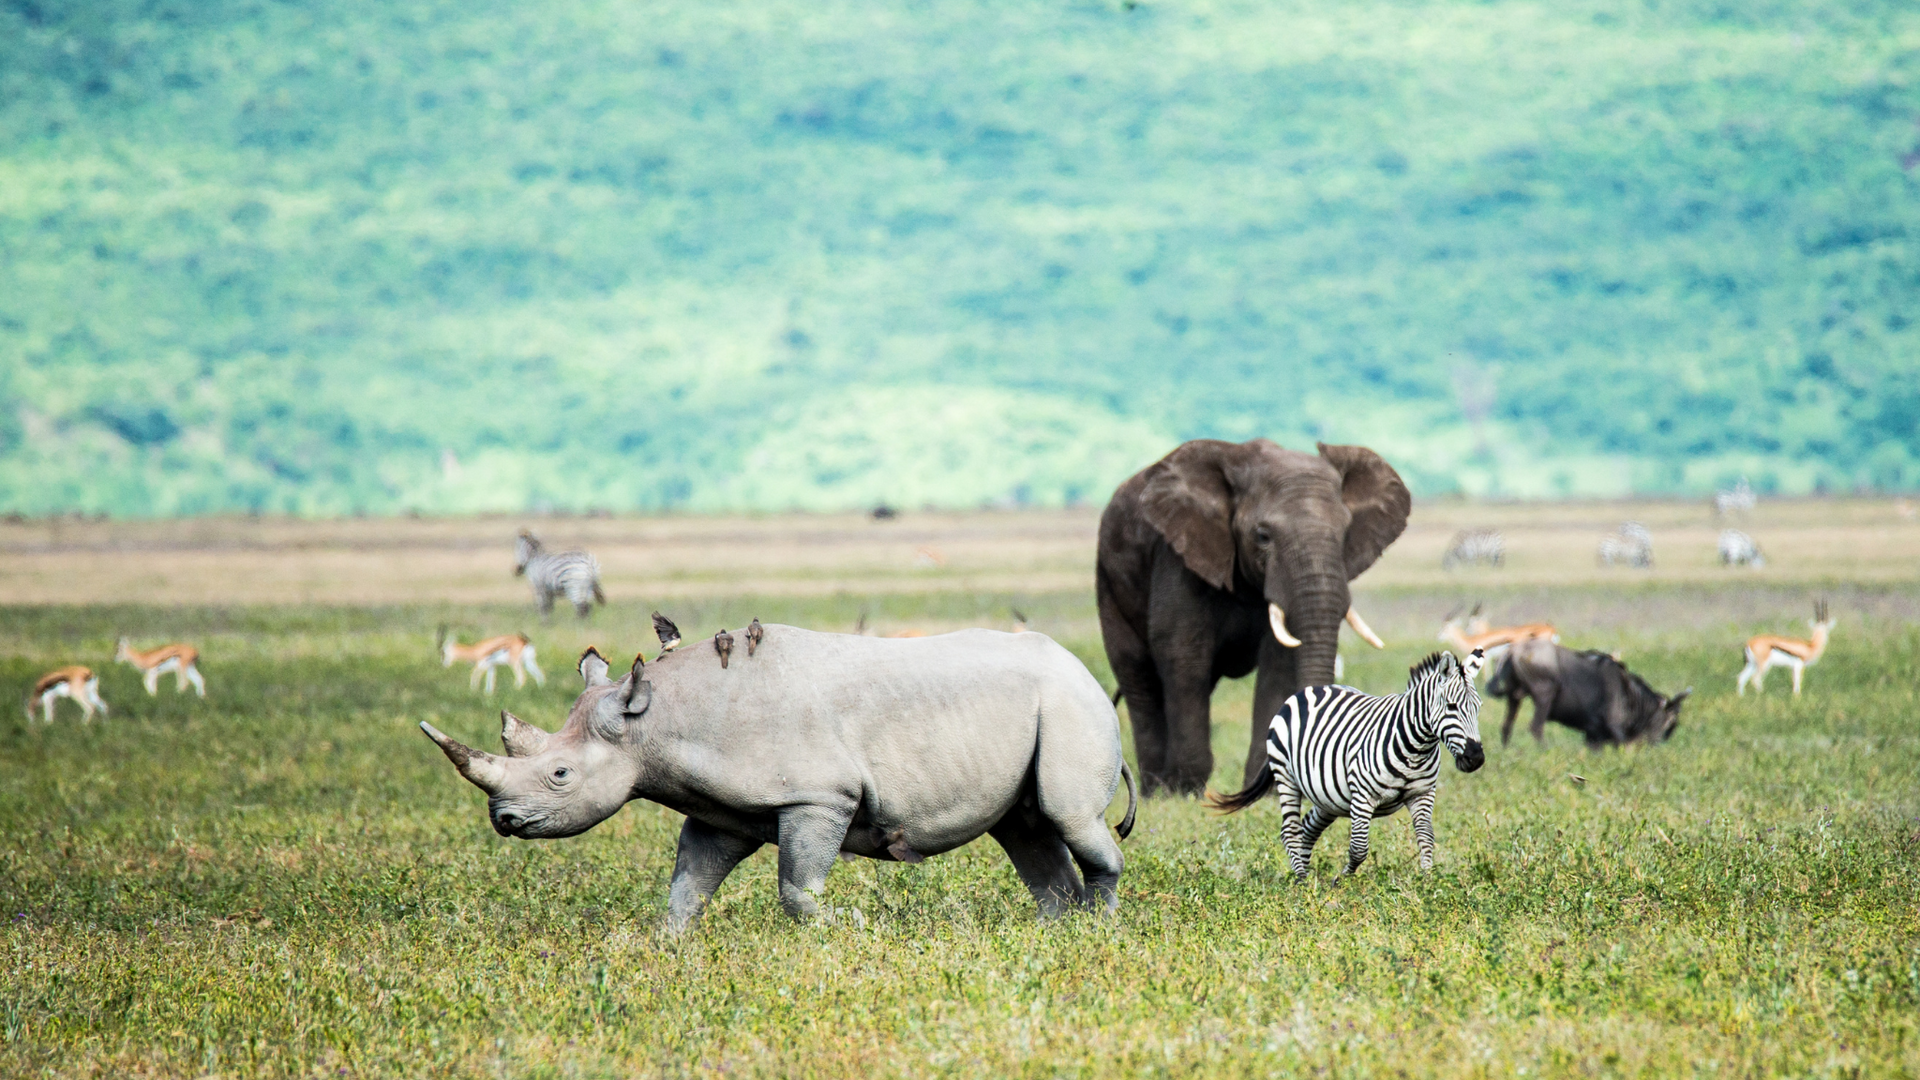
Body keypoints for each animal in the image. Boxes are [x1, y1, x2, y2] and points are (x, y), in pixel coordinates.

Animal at [421, 624, 1136, 931]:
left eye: (561, 774)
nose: (503, 821)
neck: (653, 724)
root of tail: (1082, 670)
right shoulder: (718, 808)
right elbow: (689, 882)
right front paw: (669, 947)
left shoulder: (819, 796)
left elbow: (797, 886)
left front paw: (846, 925)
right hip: (1042, 708)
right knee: (1026, 830)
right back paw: (1053, 933)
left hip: (1071, 704)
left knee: (1068, 816)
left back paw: (1097, 931)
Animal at [1097, 439, 1411, 795]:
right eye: (1262, 536)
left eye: (1345, 534)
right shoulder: (1177, 556)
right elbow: (1183, 653)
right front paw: (1185, 792)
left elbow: (1278, 664)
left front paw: (1267, 789)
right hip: (1108, 579)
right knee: (1138, 674)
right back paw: (1155, 792)